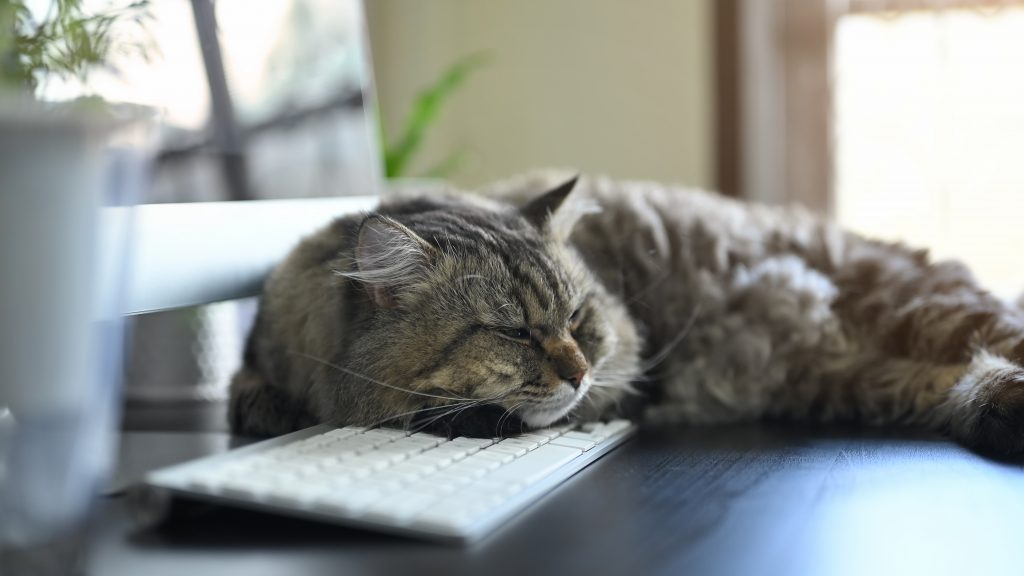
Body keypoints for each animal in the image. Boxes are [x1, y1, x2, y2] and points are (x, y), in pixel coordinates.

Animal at [228, 172, 1024, 455]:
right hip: (854, 377)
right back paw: (997, 411)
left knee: (997, 339)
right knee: (942, 383)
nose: (579, 371)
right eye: (515, 332)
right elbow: (248, 390)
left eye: (579, 318)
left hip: (927, 310)